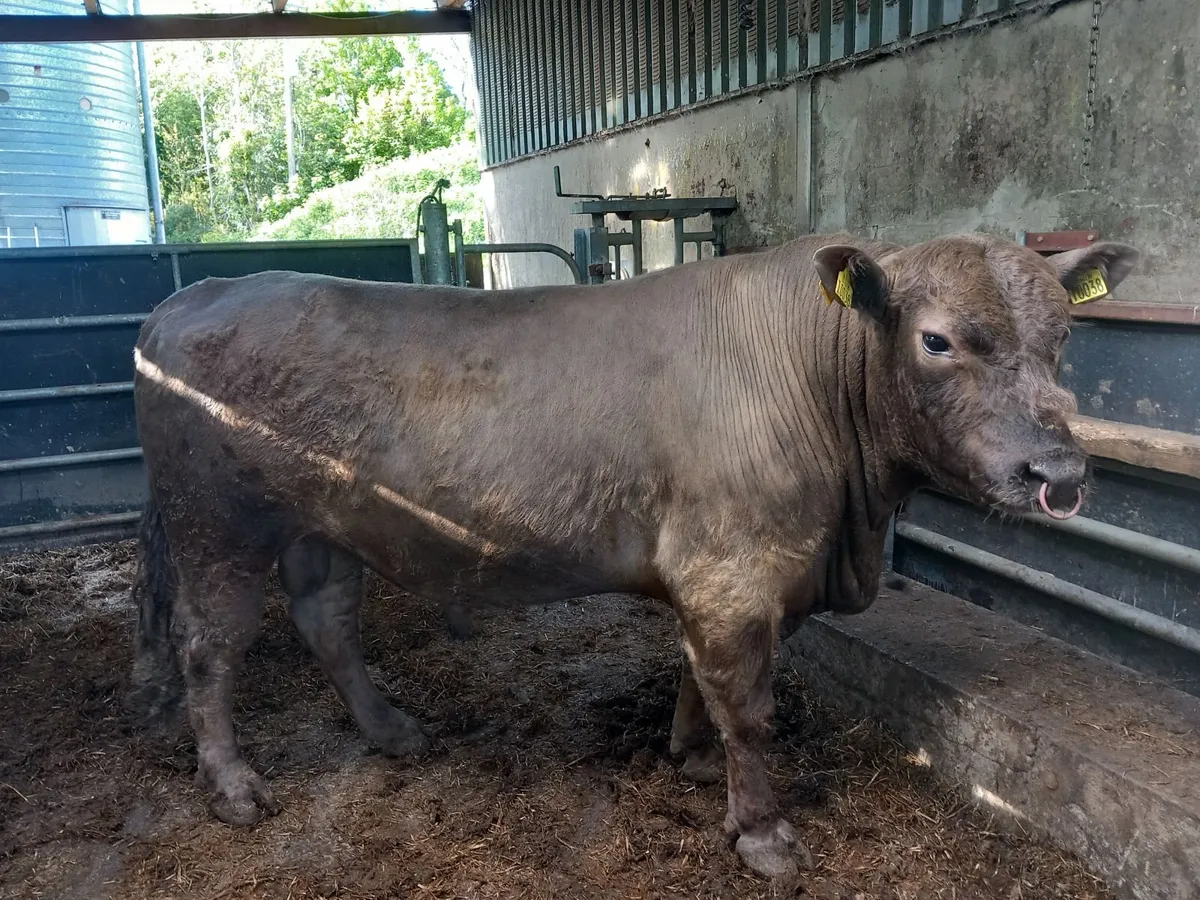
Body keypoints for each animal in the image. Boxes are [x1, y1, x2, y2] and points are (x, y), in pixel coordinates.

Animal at [126, 232, 1137, 879]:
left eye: (1065, 336)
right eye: (936, 340)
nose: (1058, 472)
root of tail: (187, 298)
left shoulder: (719, 579)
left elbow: (701, 680)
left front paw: (688, 756)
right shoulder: (736, 574)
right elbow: (750, 708)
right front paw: (763, 836)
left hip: (320, 530)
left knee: (327, 624)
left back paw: (392, 731)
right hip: (218, 526)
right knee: (208, 648)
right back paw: (234, 787)